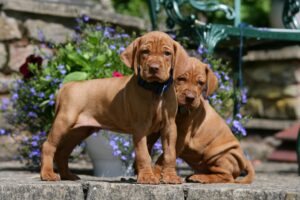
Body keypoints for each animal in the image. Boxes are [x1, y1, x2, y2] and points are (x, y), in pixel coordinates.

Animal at [39, 31, 188, 184]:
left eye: (167, 53)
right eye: (145, 51)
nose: (153, 68)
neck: (155, 90)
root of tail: (67, 86)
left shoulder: (169, 126)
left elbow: (170, 153)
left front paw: (170, 176)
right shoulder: (140, 127)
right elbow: (143, 154)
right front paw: (147, 177)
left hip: (79, 130)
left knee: (63, 152)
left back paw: (67, 175)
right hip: (64, 121)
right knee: (48, 146)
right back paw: (47, 174)